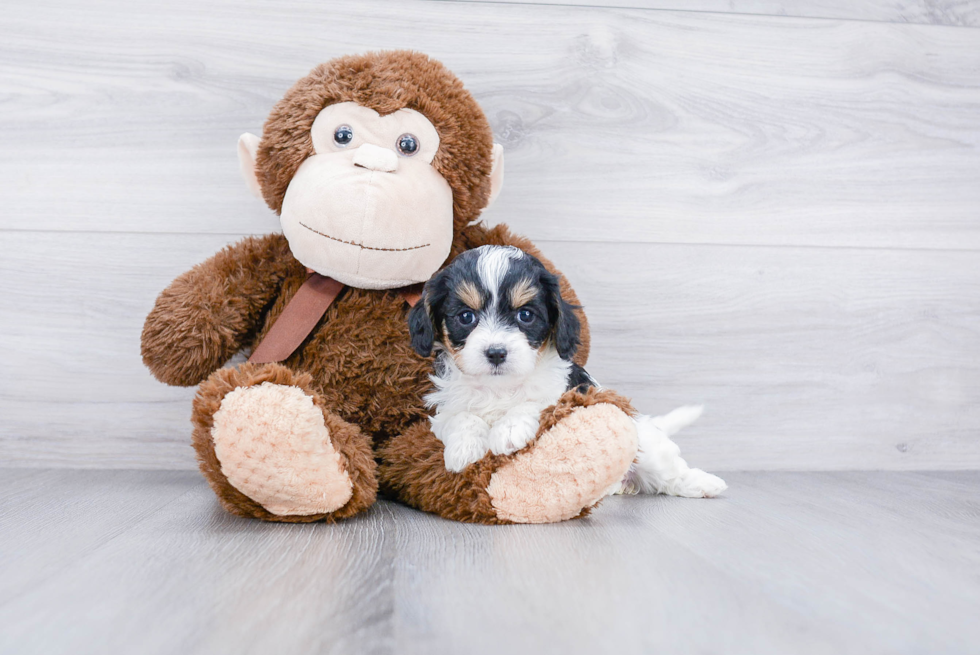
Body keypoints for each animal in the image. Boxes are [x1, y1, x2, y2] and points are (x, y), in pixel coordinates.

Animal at [410, 249, 724, 500]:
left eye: (526, 315)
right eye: (466, 317)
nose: (496, 352)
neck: (499, 387)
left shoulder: (566, 393)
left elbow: (536, 402)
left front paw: (508, 429)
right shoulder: (446, 409)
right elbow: (461, 417)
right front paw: (464, 448)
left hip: (646, 446)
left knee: (669, 471)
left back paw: (705, 483)